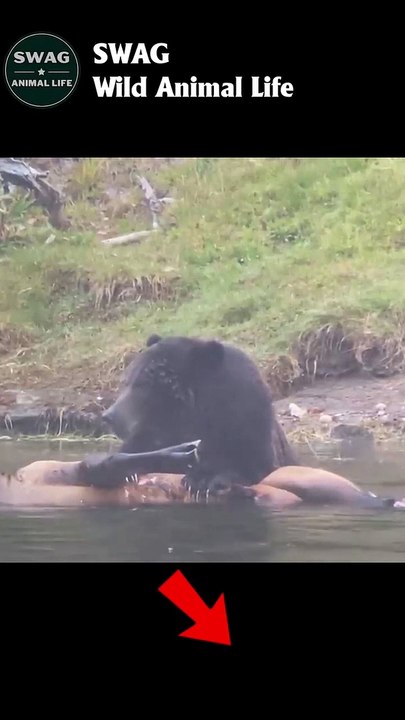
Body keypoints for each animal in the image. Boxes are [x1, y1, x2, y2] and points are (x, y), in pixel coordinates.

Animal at [101, 333, 299, 496]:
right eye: (125, 381)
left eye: (142, 384)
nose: (109, 416)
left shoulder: (246, 422)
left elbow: (251, 464)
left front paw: (203, 479)